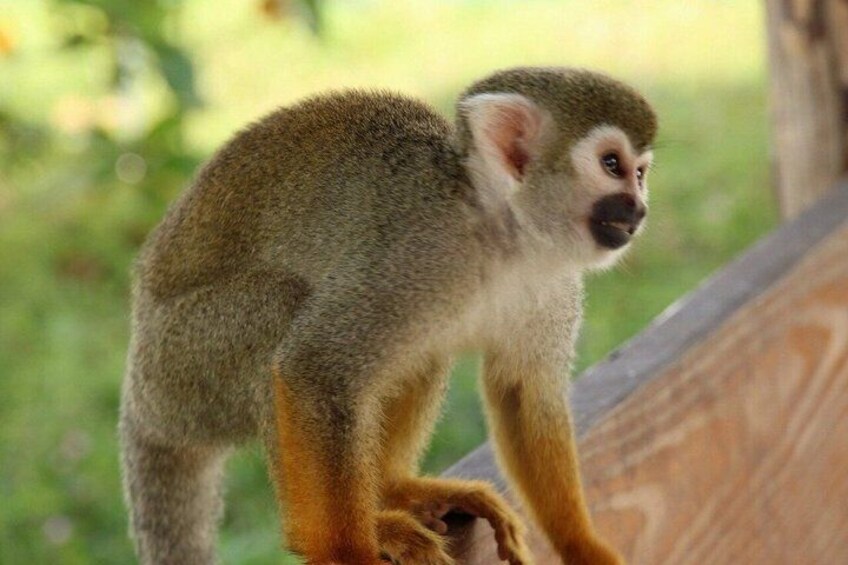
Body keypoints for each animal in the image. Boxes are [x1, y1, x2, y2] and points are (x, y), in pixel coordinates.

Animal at [119, 66, 657, 565]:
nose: (639, 210)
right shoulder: (408, 254)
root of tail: (142, 400)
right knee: (281, 309)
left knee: (423, 352)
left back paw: (395, 490)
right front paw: (347, 553)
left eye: (640, 173)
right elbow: (315, 372)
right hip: (184, 366)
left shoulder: (554, 282)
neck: (501, 235)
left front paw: (582, 546)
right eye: (612, 164)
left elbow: (524, 393)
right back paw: (325, 532)